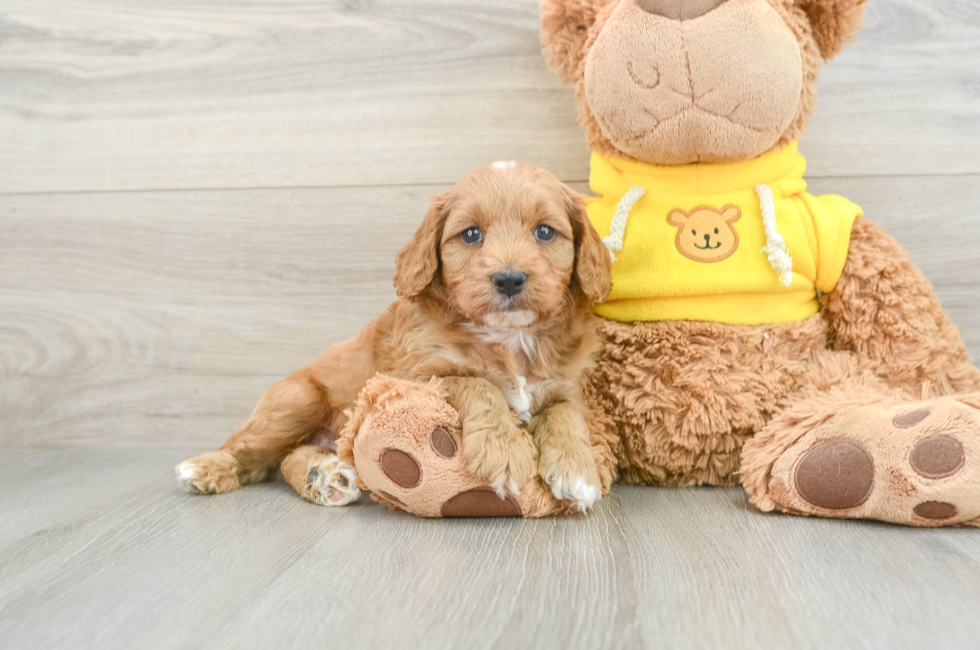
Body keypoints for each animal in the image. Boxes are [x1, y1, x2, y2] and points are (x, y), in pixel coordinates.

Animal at [172, 161, 608, 512]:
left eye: (545, 231)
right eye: (470, 235)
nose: (509, 278)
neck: (511, 338)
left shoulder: (566, 386)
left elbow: (565, 414)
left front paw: (577, 470)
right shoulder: (416, 377)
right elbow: (476, 383)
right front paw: (504, 451)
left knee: (284, 459)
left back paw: (324, 477)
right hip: (298, 399)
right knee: (249, 453)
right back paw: (207, 468)